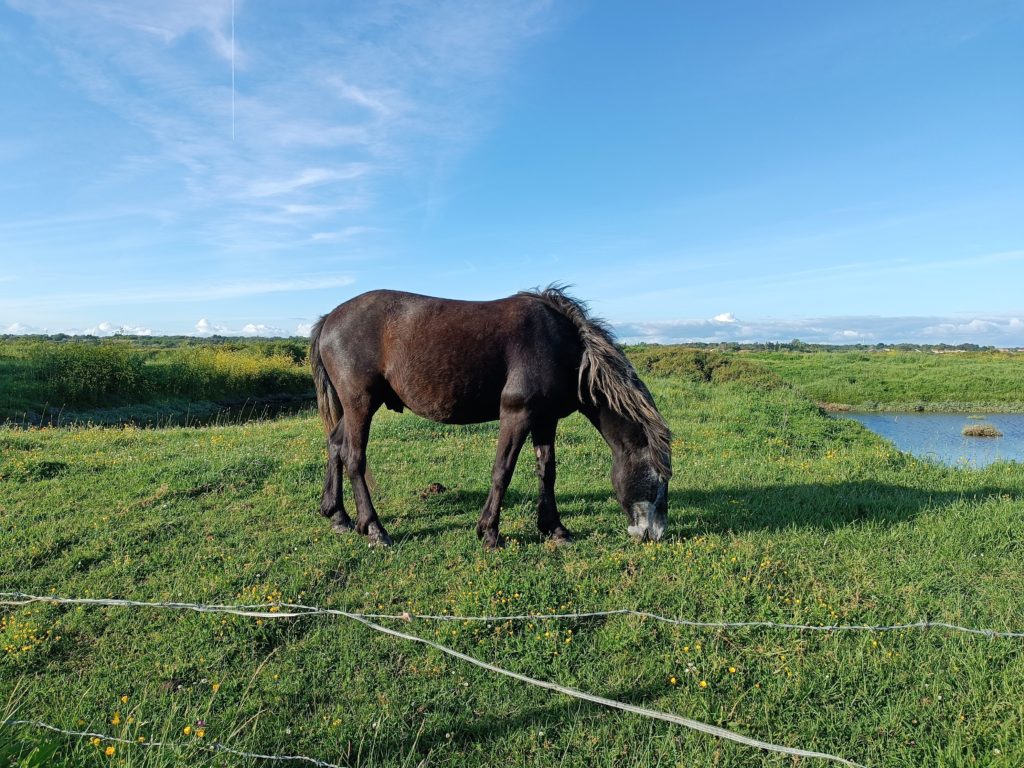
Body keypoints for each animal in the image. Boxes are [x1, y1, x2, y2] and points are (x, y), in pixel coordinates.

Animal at [311, 286, 671, 548]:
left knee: (335, 445)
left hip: (355, 407)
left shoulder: (545, 418)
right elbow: (503, 471)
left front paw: (554, 528)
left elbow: (547, 471)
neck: (561, 345)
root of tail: (329, 318)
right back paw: (374, 529)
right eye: (658, 481)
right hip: (360, 404)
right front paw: (489, 533)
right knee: (354, 457)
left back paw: (338, 516)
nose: (654, 535)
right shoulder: (517, 413)